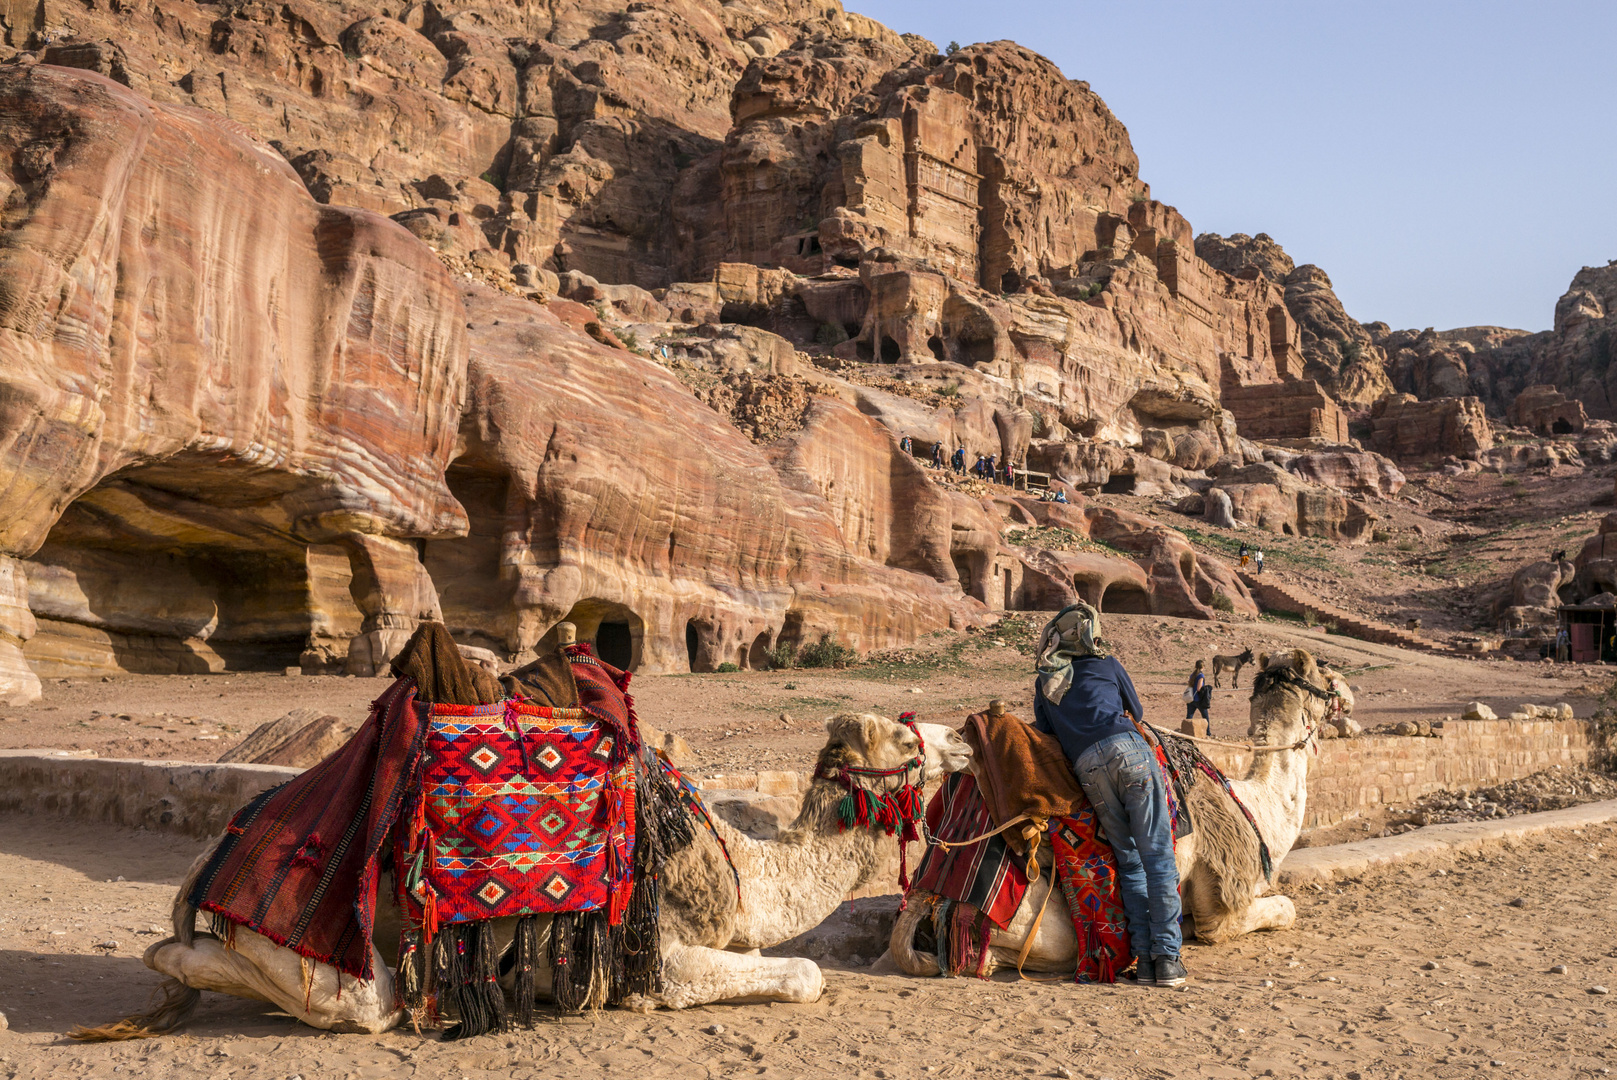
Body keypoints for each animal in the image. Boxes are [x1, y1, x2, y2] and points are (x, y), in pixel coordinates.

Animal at [122, 711, 970, 1034]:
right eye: (905, 739)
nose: (963, 736)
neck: (739, 869)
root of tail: (209, 861)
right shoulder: (657, 955)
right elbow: (804, 975)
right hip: (307, 940)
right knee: (367, 1003)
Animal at [892, 649, 1345, 976]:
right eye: (1327, 676)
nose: (1346, 692)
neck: (1255, 805)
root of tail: (927, 899)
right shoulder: (1222, 898)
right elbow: (1283, 908)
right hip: (1040, 925)